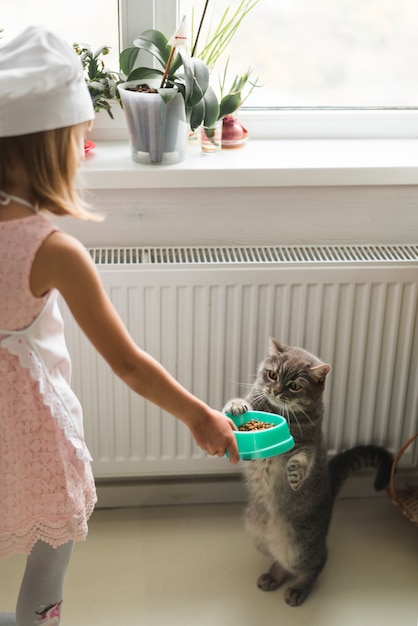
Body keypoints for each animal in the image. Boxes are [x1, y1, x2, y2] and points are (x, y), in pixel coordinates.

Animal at [224, 336, 394, 604]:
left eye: (294, 386)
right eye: (272, 375)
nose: (275, 390)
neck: (277, 412)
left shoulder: (308, 444)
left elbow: (304, 458)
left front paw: (296, 472)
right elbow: (242, 403)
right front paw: (237, 406)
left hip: (302, 547)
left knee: (315, 564)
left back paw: (298, 589)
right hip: (257, 532)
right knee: (281, 561)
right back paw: (273, 576)